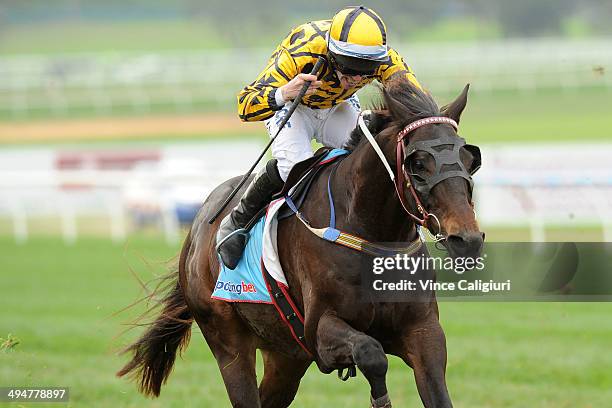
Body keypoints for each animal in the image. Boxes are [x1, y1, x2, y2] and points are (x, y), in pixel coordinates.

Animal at [118, 78, 482, 406]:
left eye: (470, 159)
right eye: (417, 163)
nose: (467, 239)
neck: (372, 232)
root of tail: (195, 233)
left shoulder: (423, 331)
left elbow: (435, 387)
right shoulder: (320, 331)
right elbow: (371, 353)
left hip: (286, 356)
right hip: (228, 343)